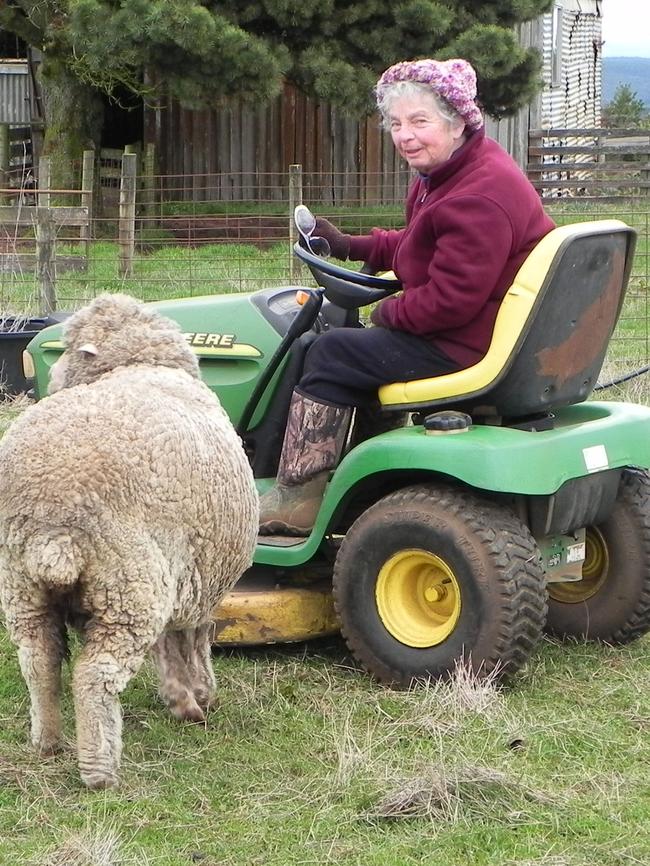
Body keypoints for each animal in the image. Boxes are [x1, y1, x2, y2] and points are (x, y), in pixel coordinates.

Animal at [0, 294, 258, 788]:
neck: (138, 363)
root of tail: (51, 524)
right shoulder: (199, 576)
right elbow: (195, 636)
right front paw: (199, 696)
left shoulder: (179, 571)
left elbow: (172, 643)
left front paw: (182, 697)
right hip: (127, 587)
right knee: (94, 677)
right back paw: (98, 771)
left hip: (23, 585)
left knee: (39, 659)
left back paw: (48, 742)